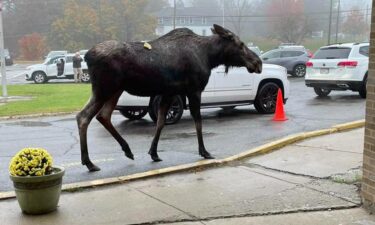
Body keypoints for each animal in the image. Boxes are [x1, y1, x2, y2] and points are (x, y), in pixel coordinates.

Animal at [77, 24, 262, 171]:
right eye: (241, 44)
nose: (258, 63)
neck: (210, 57)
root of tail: (86, 56)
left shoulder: (169, 92)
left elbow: (160, 122)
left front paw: (154, 153)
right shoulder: (194, 90)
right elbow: (198, 121)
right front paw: (204, 151)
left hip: (114, 90)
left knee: (103, 115)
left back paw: (127, 150)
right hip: (104, 89)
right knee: (83, 117)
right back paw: (89, 163)